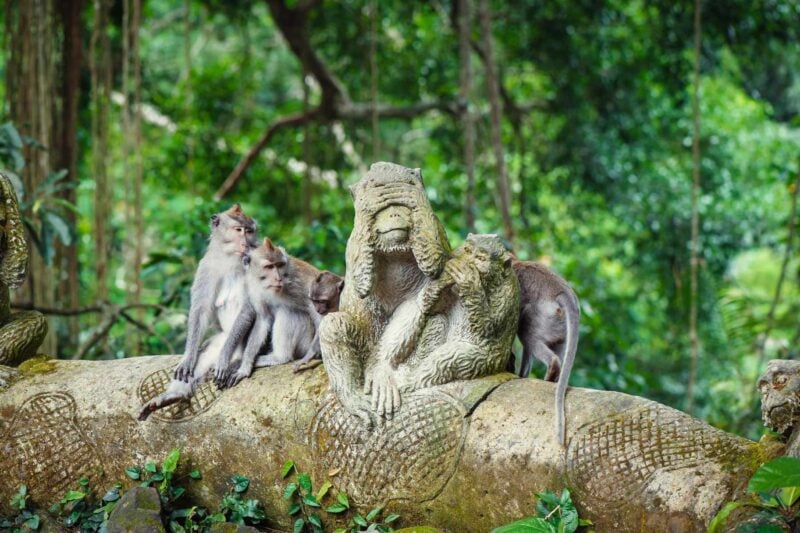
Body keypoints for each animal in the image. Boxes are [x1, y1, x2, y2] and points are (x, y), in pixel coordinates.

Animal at [138, 204, 257, 421]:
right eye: (238, 230)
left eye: (250, 231)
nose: (245, 242)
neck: (230, 259)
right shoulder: (206, 266)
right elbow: (200, 311)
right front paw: (187, 358)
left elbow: (248, 309)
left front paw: (224, 360)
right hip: (221, 338)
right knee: (206, 353)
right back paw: (174, 395)